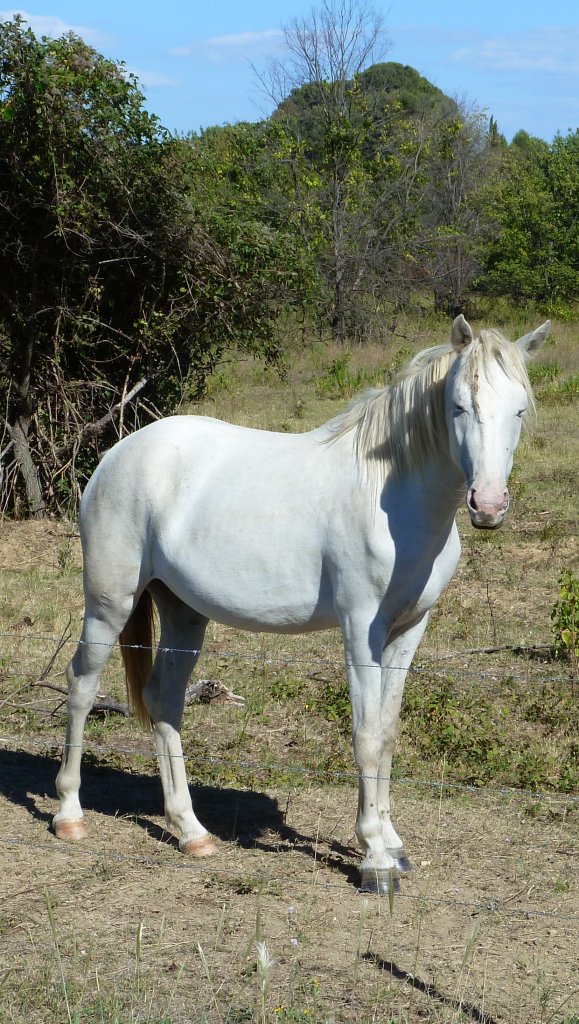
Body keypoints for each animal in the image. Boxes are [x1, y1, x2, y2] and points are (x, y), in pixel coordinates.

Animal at [53, 315, 545, 892]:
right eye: (459, 406)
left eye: (519, 409)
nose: (487, 506)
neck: (392, 496)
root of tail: (116, 454)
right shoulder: (361, 629)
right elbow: (366, 736)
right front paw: (374, 859)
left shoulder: (409, 630)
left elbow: (388, 733)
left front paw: (393, 843)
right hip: (109, 602)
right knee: (82, 685)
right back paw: (69, 815)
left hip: (182, 611)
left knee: (164, 699)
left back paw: (190, 830)